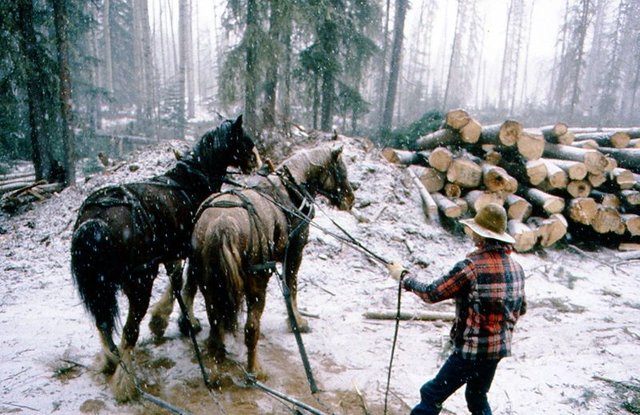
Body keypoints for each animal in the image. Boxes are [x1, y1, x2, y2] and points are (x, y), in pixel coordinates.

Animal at [70, 115, 260, 402]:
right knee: (129, 331)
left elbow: (177, 281)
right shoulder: (191, 251)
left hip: (102, 285)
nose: (257, 162)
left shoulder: (172, 253)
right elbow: (187, 283)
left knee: (103, 322)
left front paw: (167, 319)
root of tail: (96, 219)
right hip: (141, 281)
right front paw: (182, 321)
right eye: (245, 139)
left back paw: (111, 359)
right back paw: (125, 382)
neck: (190, 181)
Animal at [185, 145, 356, 378]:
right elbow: (292, 287)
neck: (292, 188)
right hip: (257, 284)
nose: (351, 199)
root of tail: (224, 223)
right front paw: (297, 322)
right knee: (251, 327)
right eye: (342, 170)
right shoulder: (294, 254)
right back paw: (254, 370)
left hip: (207, 283)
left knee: (215, 320)